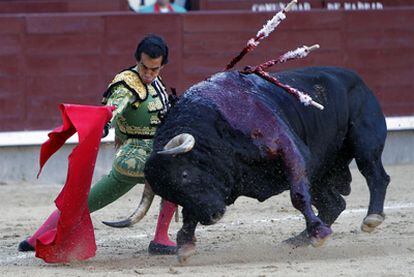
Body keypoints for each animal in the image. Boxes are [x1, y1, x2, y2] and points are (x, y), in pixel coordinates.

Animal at [144, 66, 390, 260]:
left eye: (184, 175)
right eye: (170, 193)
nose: (213, 216)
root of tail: (356, 78)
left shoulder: (291, 150)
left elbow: (298, 196)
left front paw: (320, 234)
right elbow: (189, 212)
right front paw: (185, 244)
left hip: (364, 142)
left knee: (376, 175)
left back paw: (370, 218)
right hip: (321, 172)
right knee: (334, 203)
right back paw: (299, 239)